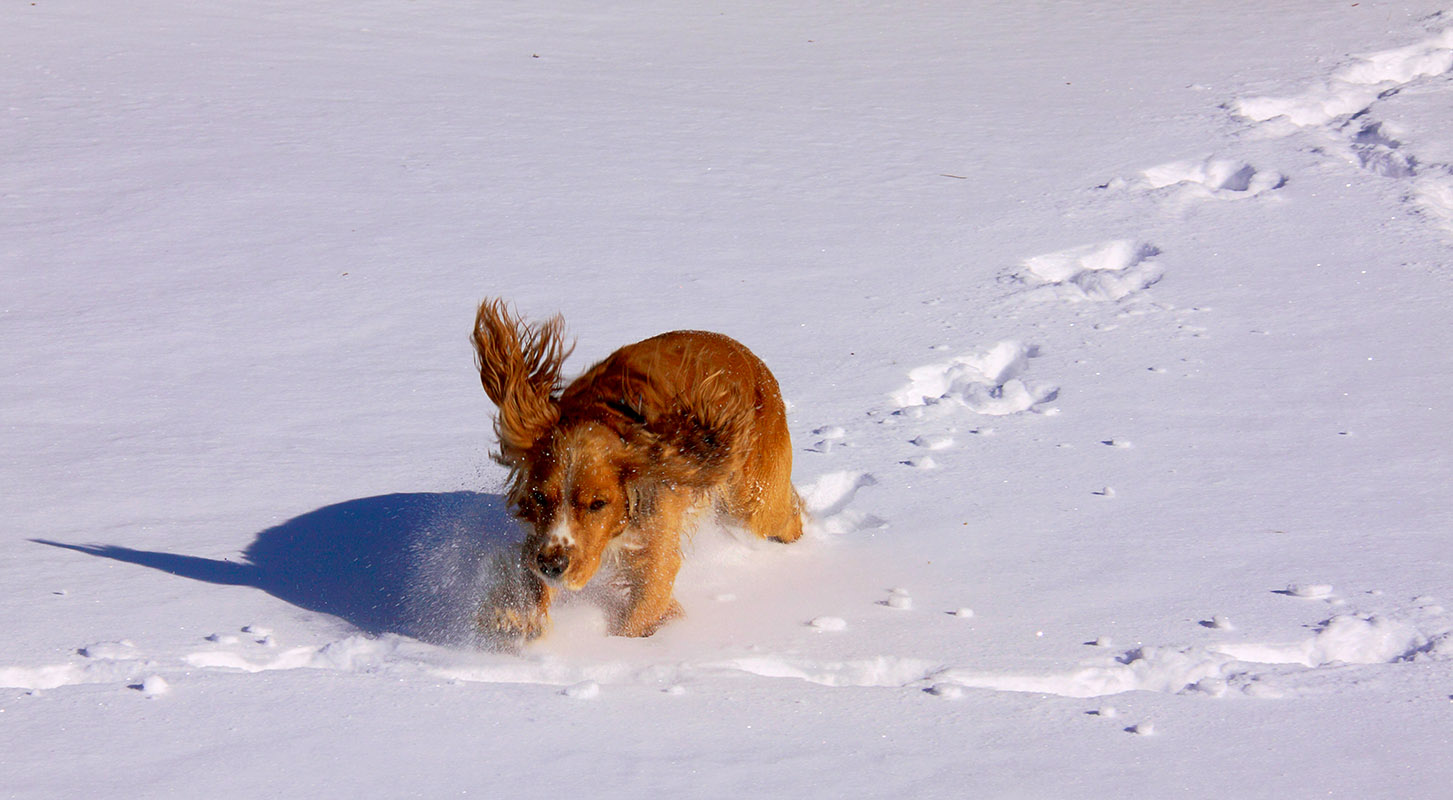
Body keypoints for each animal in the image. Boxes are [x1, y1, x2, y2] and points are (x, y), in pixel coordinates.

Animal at [470, 300, 807, 644]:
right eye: (539, 497)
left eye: (597, 504)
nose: (553, 565)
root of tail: (755, 362)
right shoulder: (541, 539)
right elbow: (531, 578)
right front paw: (518, 617)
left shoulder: (657, 546)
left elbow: (641, 610)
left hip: (754, 504)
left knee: (787, 515)